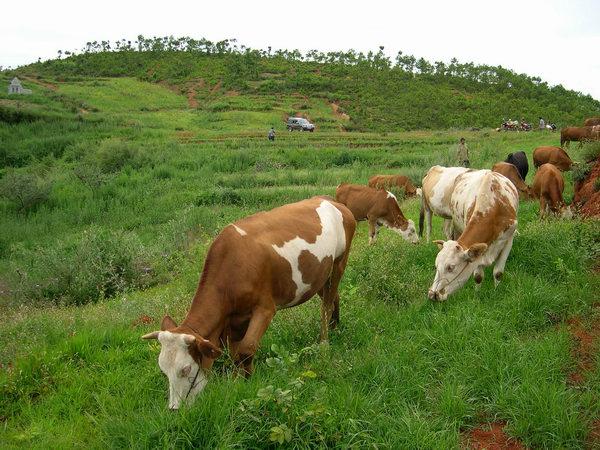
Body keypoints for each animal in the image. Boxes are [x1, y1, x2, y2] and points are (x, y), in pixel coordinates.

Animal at [141, 196, 356, 408]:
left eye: (185, 369)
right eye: (163, 370)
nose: (174, 409)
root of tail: (331, 201)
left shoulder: (265, 308)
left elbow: (246, 348)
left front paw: (246, 380)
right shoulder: (234, 319)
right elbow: (235, 352)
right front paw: (238, 380)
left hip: (339, 262)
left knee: (326, 304)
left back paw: (324, 342)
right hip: (320, 274)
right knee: (332, 297)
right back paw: (335, 326)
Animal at [426, 171, 520, 300]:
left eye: (451, 267)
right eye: (436, 266)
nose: (432, 294)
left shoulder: (508, 240)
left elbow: (498, 273)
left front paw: (496, 290)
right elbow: (478, 276)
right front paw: (477, 294)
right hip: (456, 224)